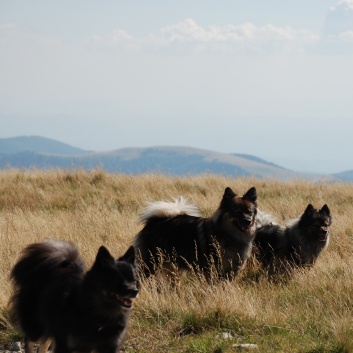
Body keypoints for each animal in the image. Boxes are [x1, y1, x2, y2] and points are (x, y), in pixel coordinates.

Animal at [8, 239, 138, 352]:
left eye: (134, 280)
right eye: (117, 280)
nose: (135, 291)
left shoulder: (109, 346)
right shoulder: (65, 344)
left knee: (43, 345)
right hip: (37, 328)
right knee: (30, 341)